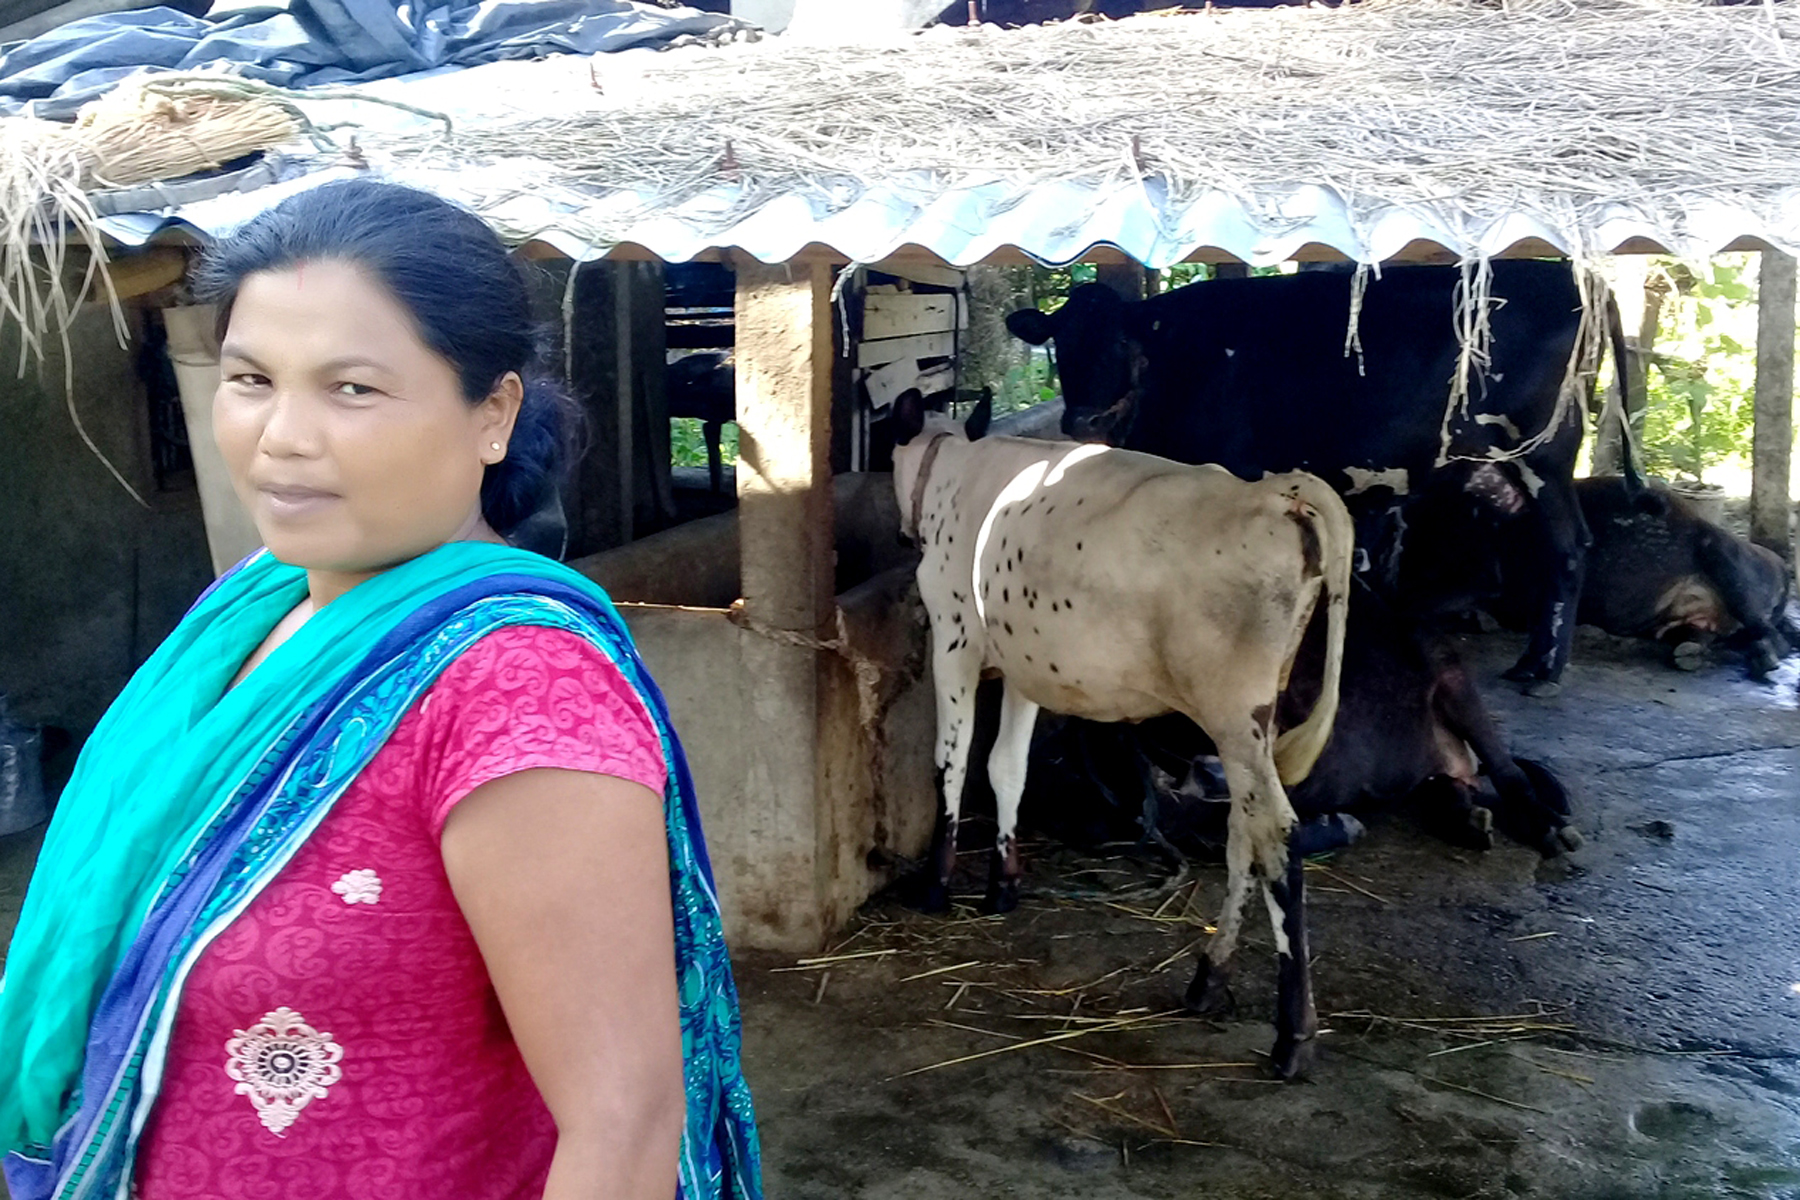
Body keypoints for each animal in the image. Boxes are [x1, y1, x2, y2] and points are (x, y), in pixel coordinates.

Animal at [891, 388, 1354, 1078]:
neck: (954, 470)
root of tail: (1277, 491)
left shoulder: (954, 641)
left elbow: (953, 762)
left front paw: (936, 885)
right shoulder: (1026, 664)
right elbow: (1007, 768)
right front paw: (1003, 885)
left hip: (1231, 708)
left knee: (1276, 834)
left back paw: (1293, 1034)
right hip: (1255, 717)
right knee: (1243, 830)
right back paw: (1208, 980)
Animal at [1005, 261, 1641, 696]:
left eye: (1120, 341)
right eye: (1060, 342)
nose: (1082, 420)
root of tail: (1577, 277)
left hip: (1546, 454)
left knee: (1568, 547)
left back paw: (1541, 668)